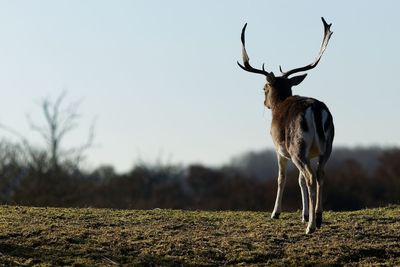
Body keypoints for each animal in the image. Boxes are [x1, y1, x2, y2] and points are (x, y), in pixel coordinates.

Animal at [238, 17, 334, 234]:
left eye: (264, 87)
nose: (264, 103)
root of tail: (315, 109)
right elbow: (298, 180)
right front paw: (304, 214)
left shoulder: (279, 149)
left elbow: (281, 178)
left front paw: (276, 213)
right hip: (327, 146)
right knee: (321, 174)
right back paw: (318, 218)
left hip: (297, 145)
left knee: (310, 177)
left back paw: (310, 227)